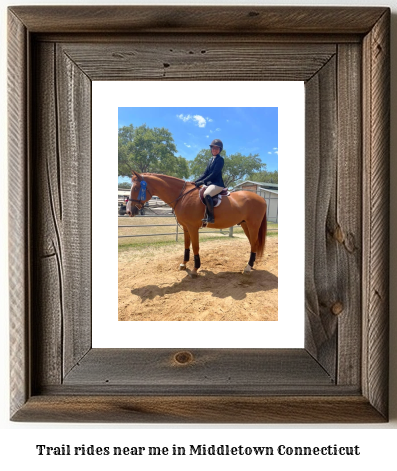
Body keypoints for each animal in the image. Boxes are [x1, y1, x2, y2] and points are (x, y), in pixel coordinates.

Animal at [125, 172, 268, 276]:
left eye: (136, 188)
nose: (129, 211)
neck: (182, 195)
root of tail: (261, 198)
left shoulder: (193, 227)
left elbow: (195, 247)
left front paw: (195, 269)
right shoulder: (185, 227)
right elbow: (186, 246)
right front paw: (184, 264)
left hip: (253, 225)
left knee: (254, 243)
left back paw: (248, 267)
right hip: (245, 225)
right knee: (253, 243)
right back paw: (251, 265)